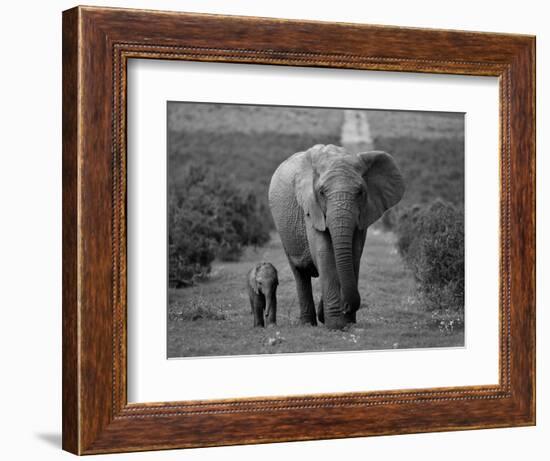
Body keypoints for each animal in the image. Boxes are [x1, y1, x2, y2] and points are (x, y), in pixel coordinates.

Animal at [270, 143, 406, 328]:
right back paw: (307, 324)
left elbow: (354, 254)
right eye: (321, 192)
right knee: (300, 273)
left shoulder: (363, 213)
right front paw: (335, 325)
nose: (346, 306)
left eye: (360, 192)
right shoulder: (311, 209)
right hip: (284, 231)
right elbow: (325, 253)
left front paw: (347, 322)